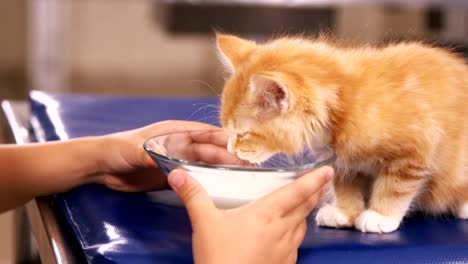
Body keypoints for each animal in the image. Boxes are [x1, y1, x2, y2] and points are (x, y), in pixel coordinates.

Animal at [218, 33, 468, 233]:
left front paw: (380, 215)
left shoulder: (416, 148)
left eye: (242, 134)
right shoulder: (342, 161)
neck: (342, 104)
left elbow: (395, 187)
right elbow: (345, 186)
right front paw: (345, 213)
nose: (230, 148)